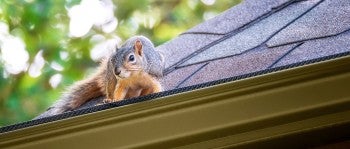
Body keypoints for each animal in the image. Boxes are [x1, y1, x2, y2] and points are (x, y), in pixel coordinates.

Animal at [36, 35, 165, 117]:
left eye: (132, 58)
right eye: (112, 59)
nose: (117, 71)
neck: (134, 75)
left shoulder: (153, 76)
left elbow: (156, 87)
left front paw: (156, 94)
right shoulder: (122, 83)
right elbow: (119, 92)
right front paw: (114, 100)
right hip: (110, 79)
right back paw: (109, 98)